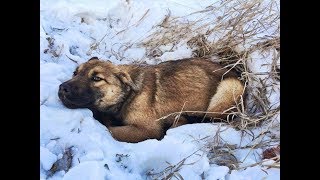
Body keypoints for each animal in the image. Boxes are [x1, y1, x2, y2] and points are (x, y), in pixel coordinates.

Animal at [58, 57, 244, 143]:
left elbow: (111, 130)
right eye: (75, 73)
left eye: (97, 78)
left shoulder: (148, 129)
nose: (62, 88)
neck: (128, 95)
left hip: (229, 87)